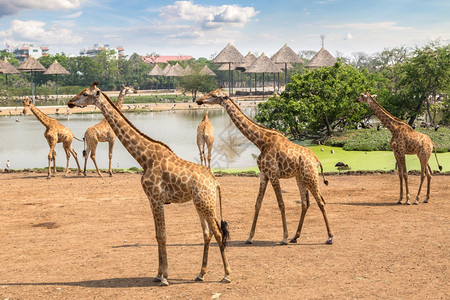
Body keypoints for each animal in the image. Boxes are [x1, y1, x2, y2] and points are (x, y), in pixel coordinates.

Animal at [68, 82, 234, 286]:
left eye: (85, 94)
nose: (70, 102)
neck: (144, 158)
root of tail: (215, 182)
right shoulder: (151, 200)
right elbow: (157, 235)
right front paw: (158, 274)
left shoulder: (156, 198)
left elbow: (162, 235)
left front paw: (164, 277)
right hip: (200, 204)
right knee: (207, 233)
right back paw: (200, 274)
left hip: (206, 203)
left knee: (218, 233)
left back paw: (226, 274)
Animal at [197, 85, 334, 245]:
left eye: (214, 95)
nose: (199, 100)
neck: (261, 141)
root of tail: (316, 159)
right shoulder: (264, 174)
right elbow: (257, 204)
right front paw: (249, 237)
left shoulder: (273, 174)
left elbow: (281, 204)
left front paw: (284, 237)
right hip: (300, 177)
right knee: (305, 203)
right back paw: (295, 236)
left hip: (310, 176)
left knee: (321, 201)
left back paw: (329, 237)